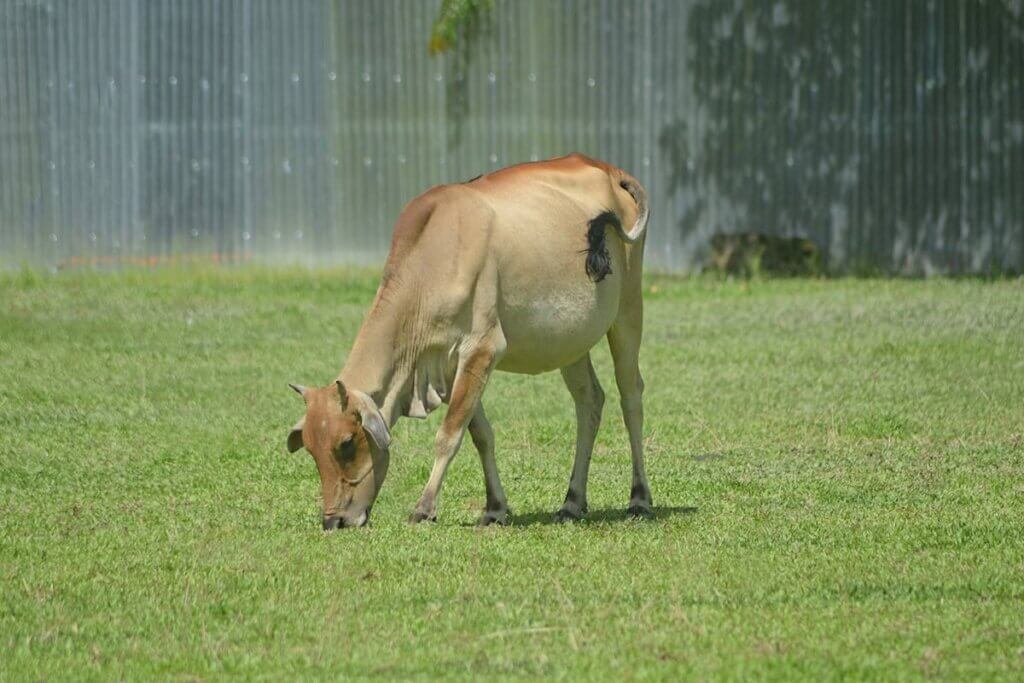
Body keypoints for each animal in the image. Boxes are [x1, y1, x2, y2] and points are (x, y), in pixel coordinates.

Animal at [286, 153, 655, 528]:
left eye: (346, 443)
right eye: (311, 448)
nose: (334, 521)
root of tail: (607, 168)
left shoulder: (482, 349)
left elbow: (449, 435)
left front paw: (424, 507)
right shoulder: (449, 366)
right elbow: (480, 434)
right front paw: (495, 507)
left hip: (628, 313)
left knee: (631, 398)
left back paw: (639, 498)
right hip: (572, 342)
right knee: (590, 402)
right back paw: (572, 501)